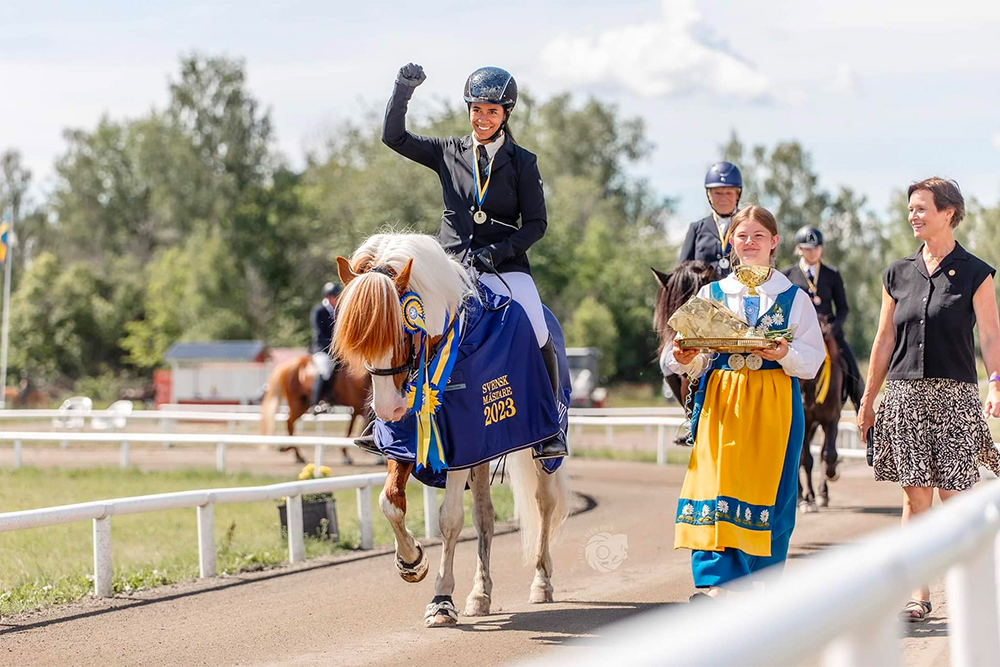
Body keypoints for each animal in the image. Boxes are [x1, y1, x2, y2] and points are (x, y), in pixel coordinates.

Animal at [334, 232, 568, 628]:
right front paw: (412, 561)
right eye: (361, 340)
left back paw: (541, 583)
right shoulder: (407, 441)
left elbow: (449, 520)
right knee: (485, 516)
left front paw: (441, 600)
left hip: (540, 441)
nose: (390, 409)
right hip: (485, 451)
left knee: (543, 502)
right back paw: (480, 595)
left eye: (402, 332)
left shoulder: (462, 443)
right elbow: (390, 502)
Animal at [796, 322, 844, 512]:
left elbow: (828, 453)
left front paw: (827, 484)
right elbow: (804, 458)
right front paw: (804, 499)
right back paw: (805, 497)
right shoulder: (804, 422)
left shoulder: (832, 419)